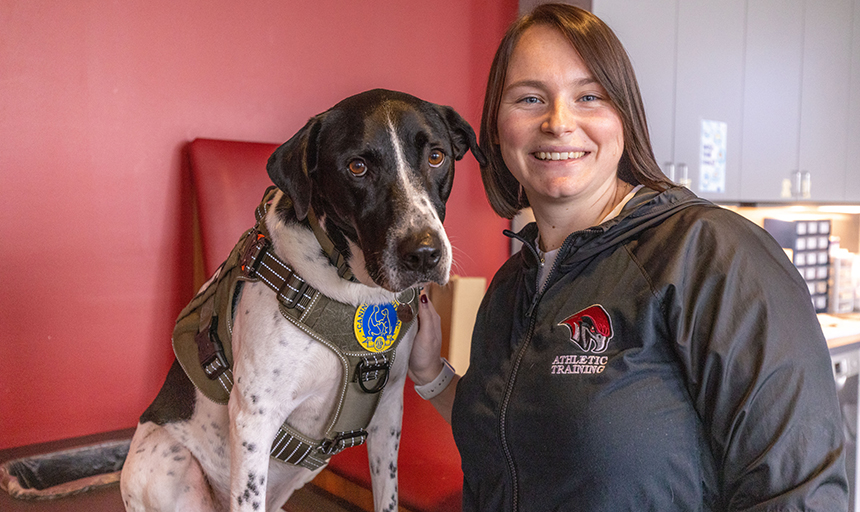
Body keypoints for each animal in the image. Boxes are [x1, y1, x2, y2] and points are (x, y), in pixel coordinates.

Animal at [120, 91, 484, 512]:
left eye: (436, 156)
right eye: (357, 167)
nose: (425, 253)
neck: (356, 289)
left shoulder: (388, 412)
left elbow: (387, 495)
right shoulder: (254, 419)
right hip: (175, 468)